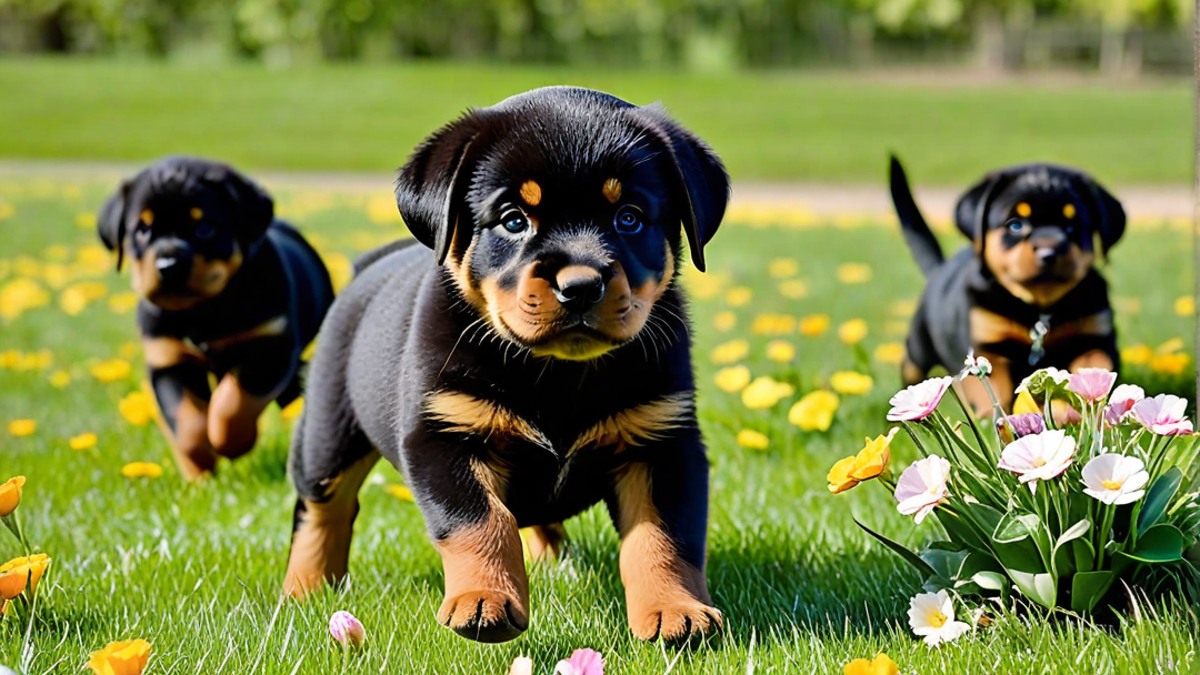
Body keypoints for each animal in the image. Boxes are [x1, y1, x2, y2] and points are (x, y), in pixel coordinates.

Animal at [94, 154, 333, 475]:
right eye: (142, 230)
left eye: (204, 227)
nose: (168, 265)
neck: (204, 313)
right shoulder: (168, 361)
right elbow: (186, 420)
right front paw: (200, 462)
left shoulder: (270, 348)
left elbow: (233, 402)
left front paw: (232, 443)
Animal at [285, 86, 724, 643]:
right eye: (514, 219)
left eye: (629, 217)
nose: (581, 286)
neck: (559, 375)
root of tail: (371, 262)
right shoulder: (443, 433)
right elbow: (479, 520)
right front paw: (484, 598)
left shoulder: (663, 440)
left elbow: (664, 537)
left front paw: (675, 609)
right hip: (327, 430)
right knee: (322, 509)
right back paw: (303, 591)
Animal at [892, 154, 1123, 413]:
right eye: (1015, 225)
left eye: (1072, 226)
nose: (1048, 252)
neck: (1039, 309)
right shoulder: (987, 345)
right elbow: (995, 390)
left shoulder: (1096, 337)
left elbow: (1094, 364)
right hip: (919, 347)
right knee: (912, 366)